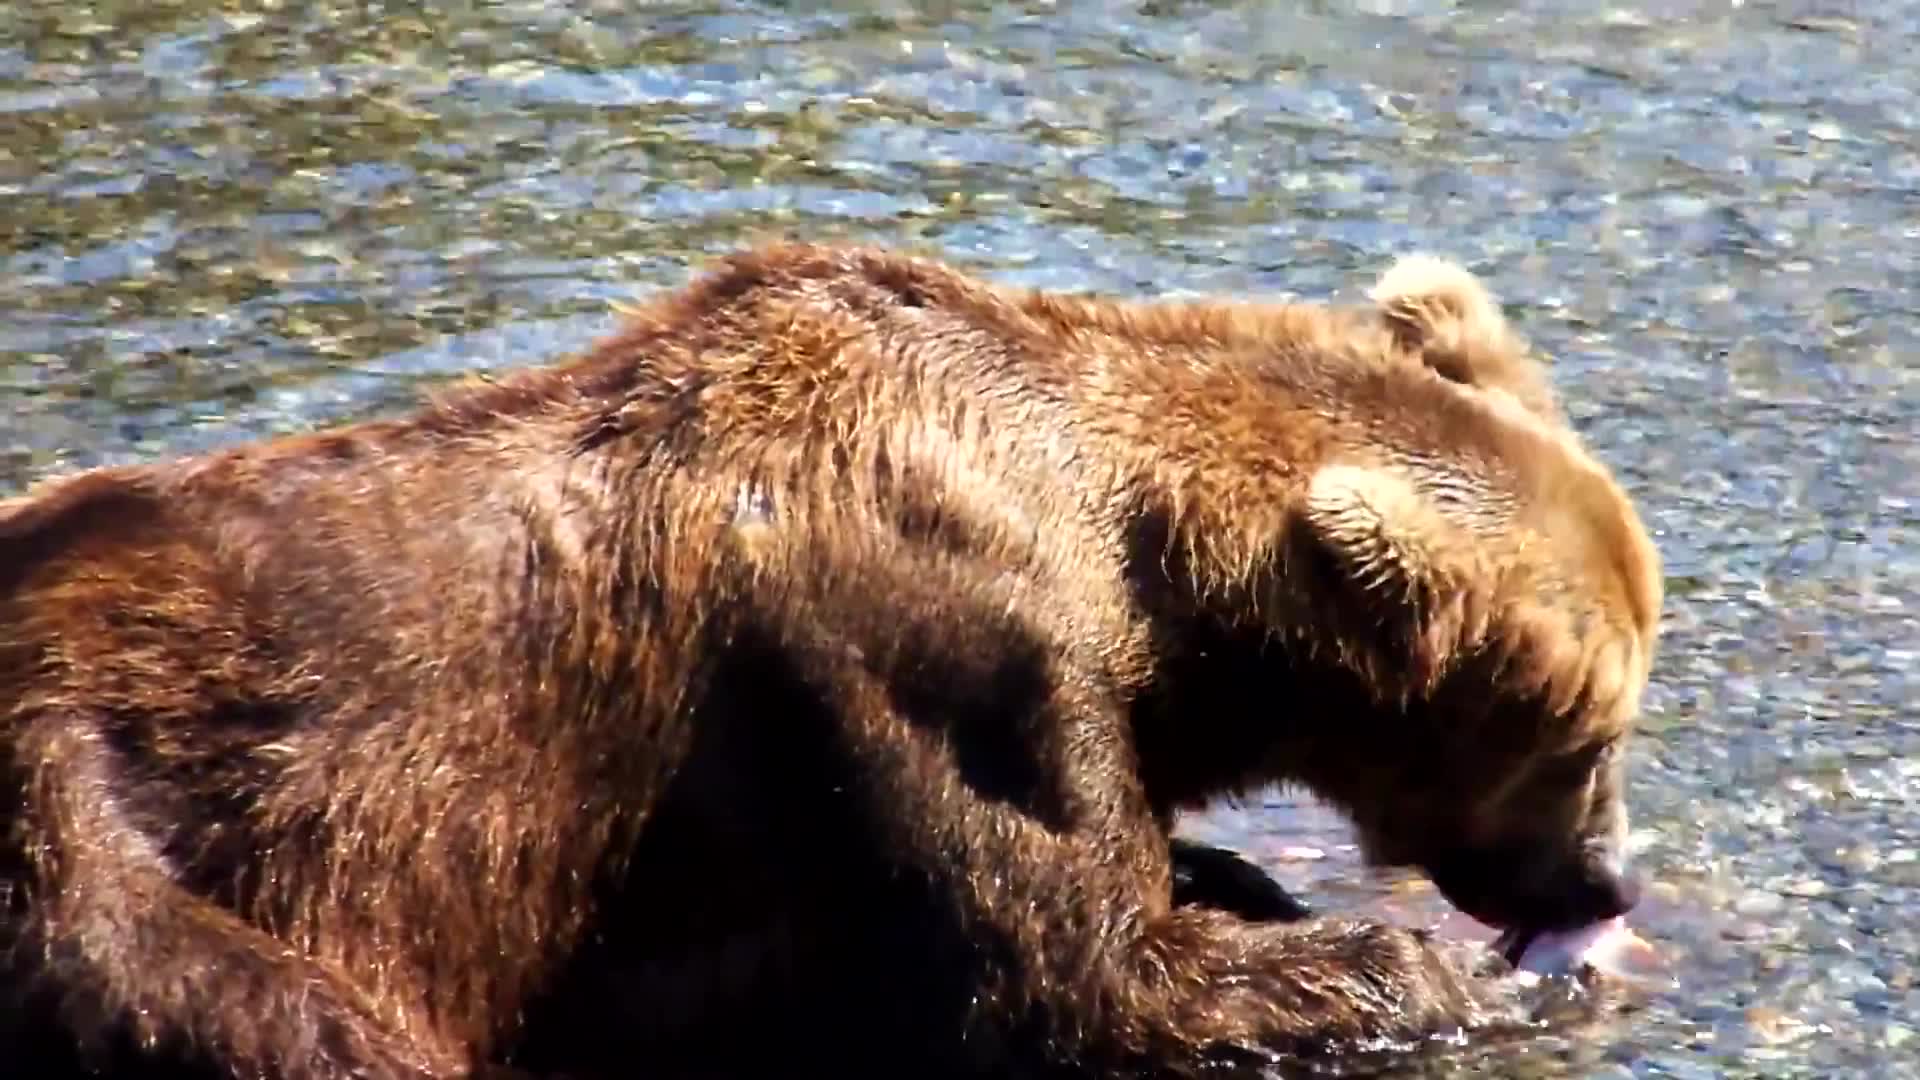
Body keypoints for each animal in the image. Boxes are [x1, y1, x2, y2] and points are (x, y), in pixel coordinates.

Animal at [0, 244, 1658, 1076]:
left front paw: (1238, 876)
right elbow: (1080, 973)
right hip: (112, 844)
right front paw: (1420, 966)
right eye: (1586, 738)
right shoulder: (918, 658)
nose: (1605, 883)